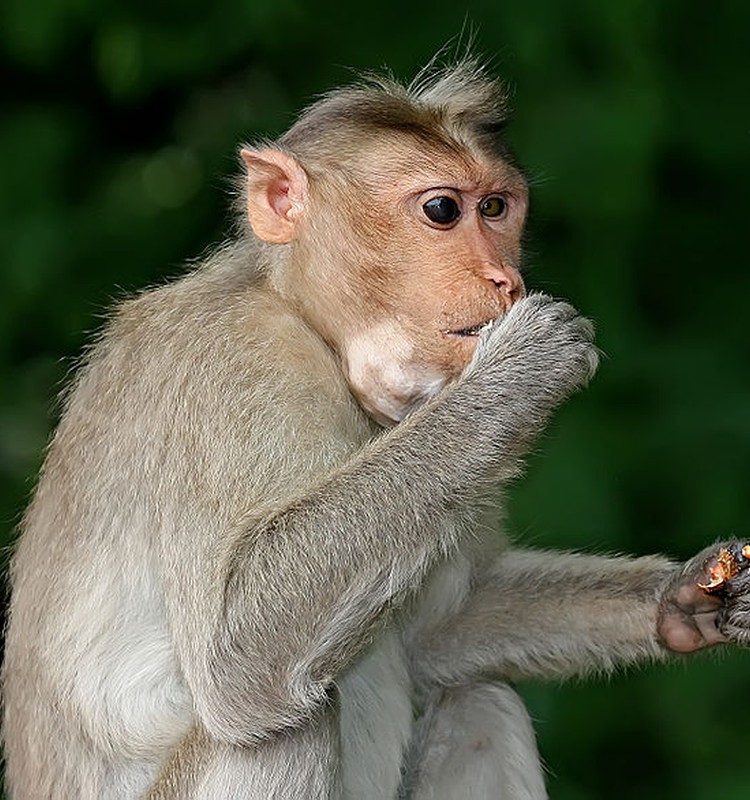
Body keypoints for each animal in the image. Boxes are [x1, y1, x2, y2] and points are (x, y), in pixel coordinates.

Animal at [4, 57, 750, 800]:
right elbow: (233, 648)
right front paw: (520, 370)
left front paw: (683, 597)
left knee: (482, 703)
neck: (316, 330)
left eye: (496, 208)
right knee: (285, 725)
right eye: (442, 210)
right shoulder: (230, 365)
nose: (505, 279)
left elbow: (438, 634)